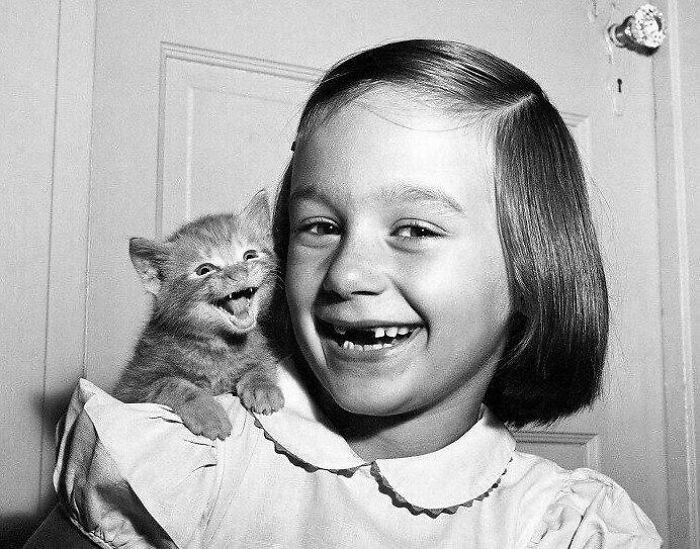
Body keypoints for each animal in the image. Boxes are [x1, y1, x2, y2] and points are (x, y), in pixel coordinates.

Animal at [113, 191, 284, 438]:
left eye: (249, 256)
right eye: (205, 270)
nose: (238, 273)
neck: (220, 346)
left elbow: (262, 360)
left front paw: (262, 383)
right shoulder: (131, 386)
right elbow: (171, 383)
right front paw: (207, 412)